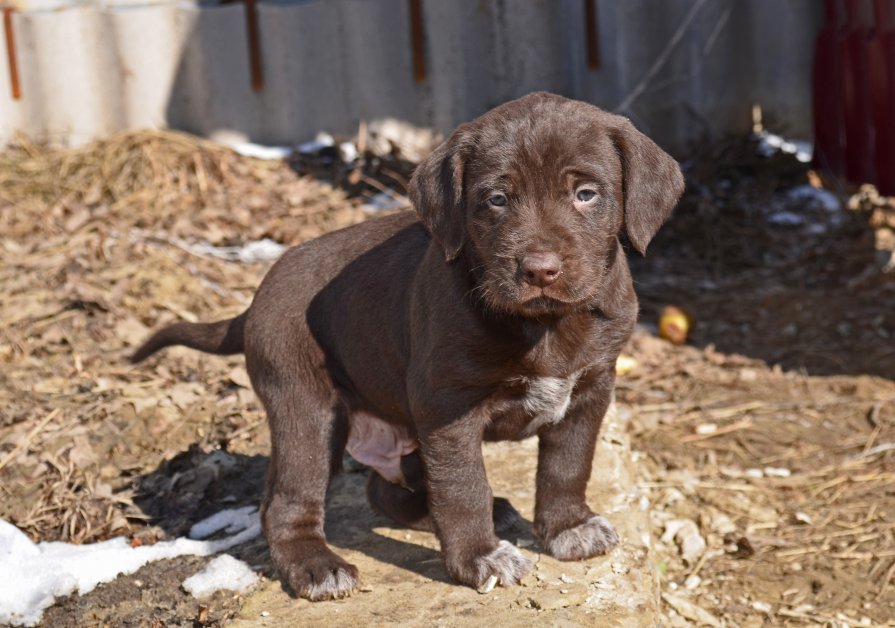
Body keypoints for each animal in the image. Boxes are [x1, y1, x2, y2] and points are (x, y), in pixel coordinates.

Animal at [133, 92, 684, 600]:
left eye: (586, 194)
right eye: (497, 199)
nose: (539, 270)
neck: (542, 324)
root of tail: (255, 300)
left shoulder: (590, 388)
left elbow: (568, 465)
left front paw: (568, 527)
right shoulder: (446, 404)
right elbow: (463, 486)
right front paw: (478, 558)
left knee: (385, 489)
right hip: (305, 407)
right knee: (288, 502)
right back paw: (317, 567)